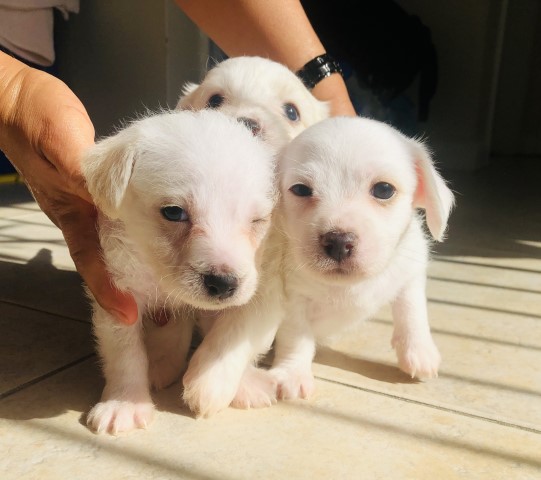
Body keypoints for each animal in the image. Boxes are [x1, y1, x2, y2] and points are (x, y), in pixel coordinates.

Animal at [82, 109, 276, 436]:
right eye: (174, 212)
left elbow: (233, 333)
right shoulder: (119, 298)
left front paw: (209, 383)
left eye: (258, 221)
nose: (224, 284)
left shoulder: (260, 295)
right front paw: (125, 404)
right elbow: (126, 353)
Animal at [268, 117, 454, 402]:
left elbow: (412, 309)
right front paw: (292, 374)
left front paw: (418, 350)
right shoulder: (293, 300)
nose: (338, 241)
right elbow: (295, 337)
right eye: (300, 190)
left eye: (384, 190)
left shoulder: (411, 271)